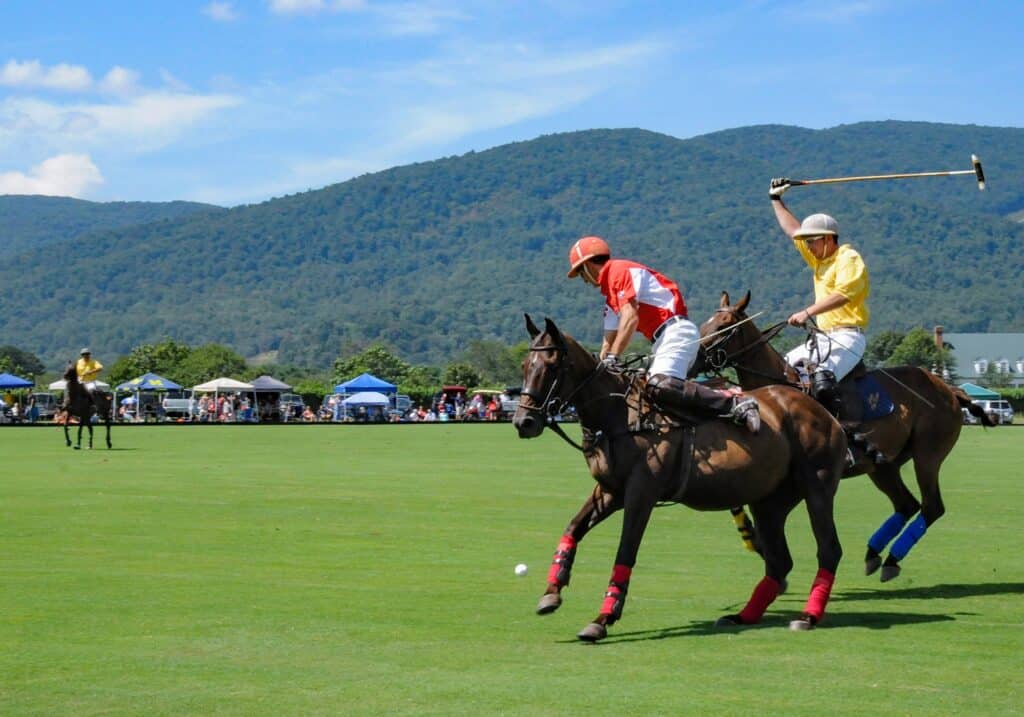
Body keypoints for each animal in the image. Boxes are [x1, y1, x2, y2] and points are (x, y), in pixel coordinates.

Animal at [512, 315, 847, 643]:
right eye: (525, 365)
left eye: (552, 366)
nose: (523, 421)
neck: (618, 416)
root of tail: (823, 410)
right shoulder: (610, 490)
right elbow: (573, 527)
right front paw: (551, 594)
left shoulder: (641, 493)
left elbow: (625, 551)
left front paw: (602, 619)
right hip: (768, 501)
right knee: (780, 561)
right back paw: (743, 615)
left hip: (817, 487)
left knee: (828, 549)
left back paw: (807, 616)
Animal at [696, 290, 991, 581]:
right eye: (707, 323)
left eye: (724, 327)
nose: (695, 357)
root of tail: (950, 390)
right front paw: (752, 538)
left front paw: (759, 543)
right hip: (883, 464)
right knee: (907, 504)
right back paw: (875, 554)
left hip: (927, 454)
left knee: (931, 506)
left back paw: (891, 559)